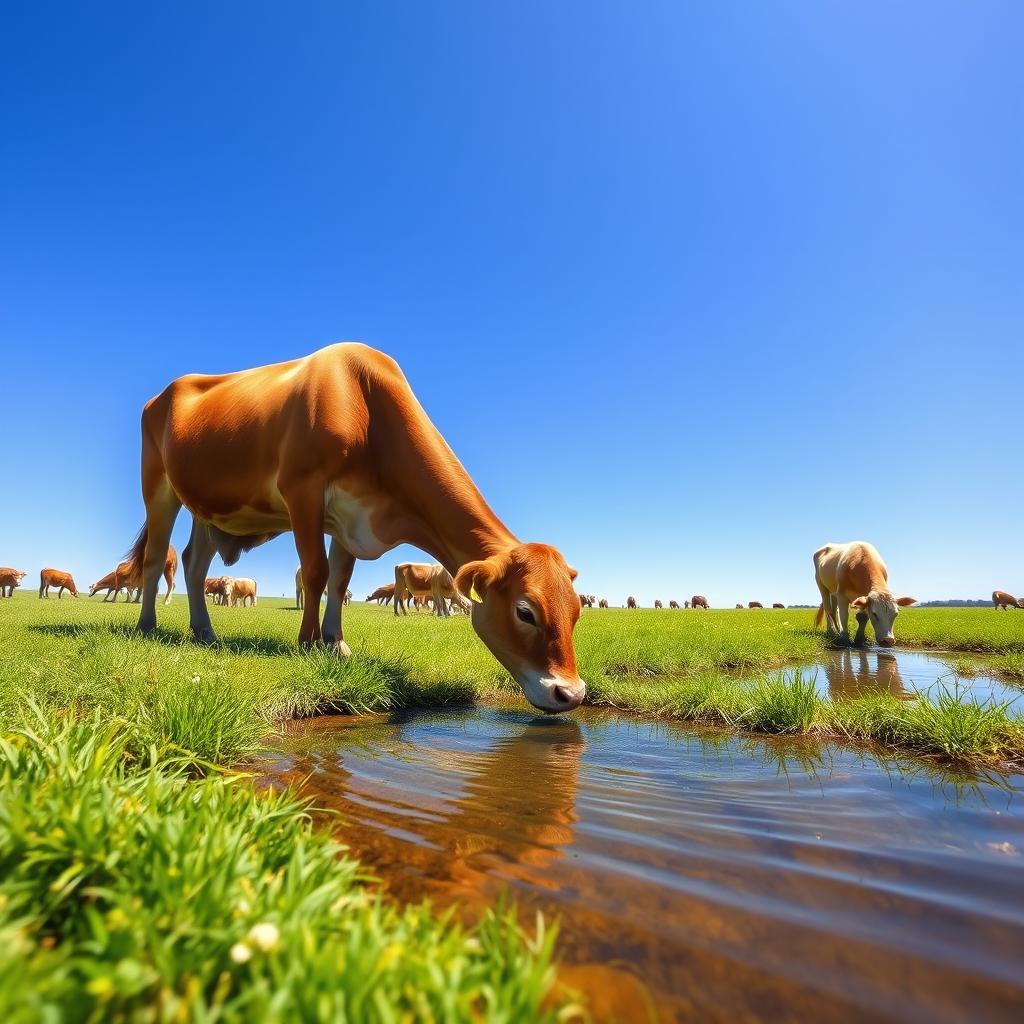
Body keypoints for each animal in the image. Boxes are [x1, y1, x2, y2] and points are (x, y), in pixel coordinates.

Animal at [123, 343, 585, 713]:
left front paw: (336, 643)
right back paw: (147, 626)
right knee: (155, 558)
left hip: (209, 507)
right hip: (157, 484)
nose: (572, 695)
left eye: (577, 611)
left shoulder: (350, 516)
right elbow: (316, 572)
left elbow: (340, 579)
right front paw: (307, 642)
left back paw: (205, 632)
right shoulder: (303, 490)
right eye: (525, 611)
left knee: (194, 562)